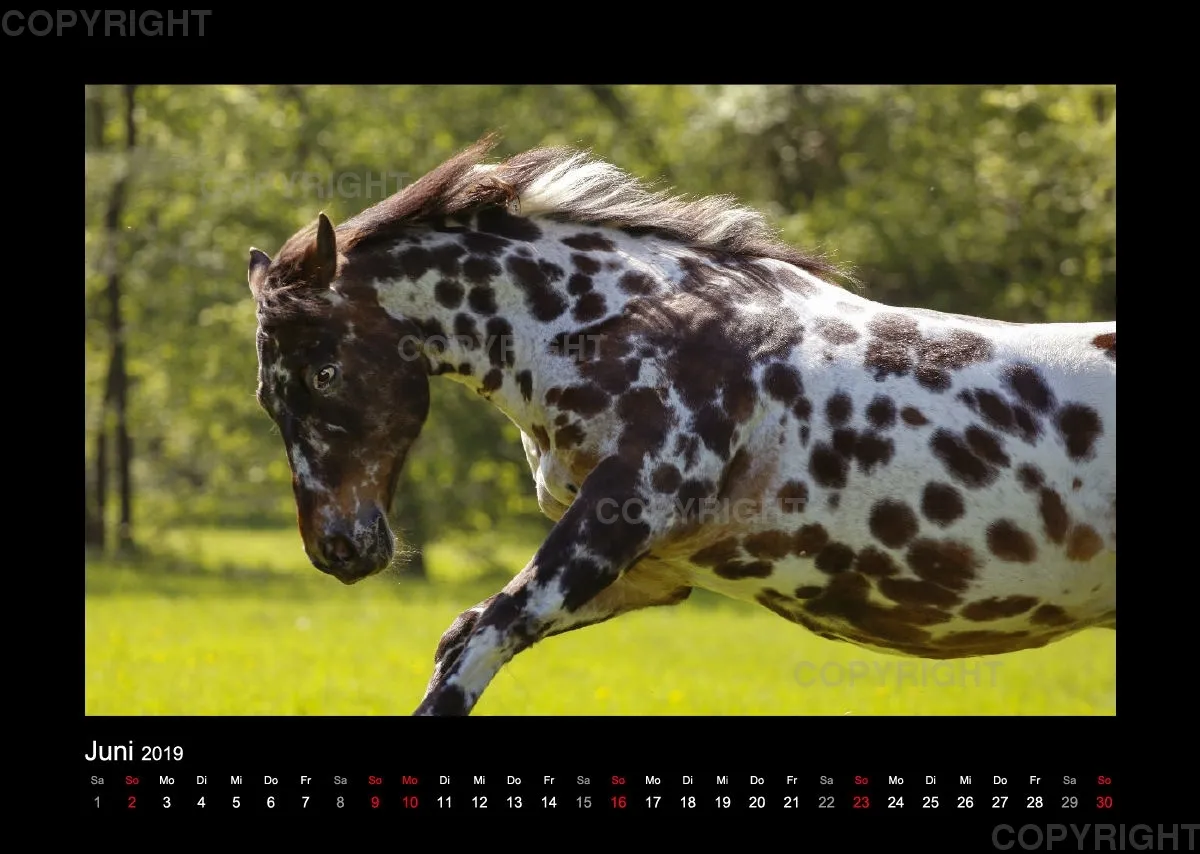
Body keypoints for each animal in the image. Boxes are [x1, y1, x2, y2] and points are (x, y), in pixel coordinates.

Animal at [246, 135, 1115, 716]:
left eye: (323, 375)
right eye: (265, 395)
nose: (337, 548)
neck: (627, 326)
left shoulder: (614, 523)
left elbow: (477, 647)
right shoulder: (654, 572)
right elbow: (460, 638)